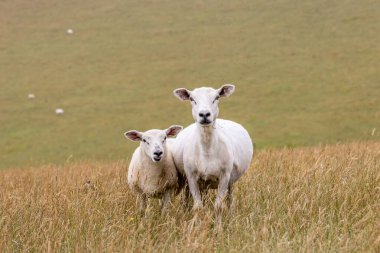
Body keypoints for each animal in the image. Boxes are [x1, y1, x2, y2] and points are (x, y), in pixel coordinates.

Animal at [173, 85, 255, 221]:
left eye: (217, 97)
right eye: (192, 99)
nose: (204, 114)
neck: (207, 150)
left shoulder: (224, 176)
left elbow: (218, 207)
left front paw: (219, 226)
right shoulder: (191, 177)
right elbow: (198, 207)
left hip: (231, 180)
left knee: (230, 200)